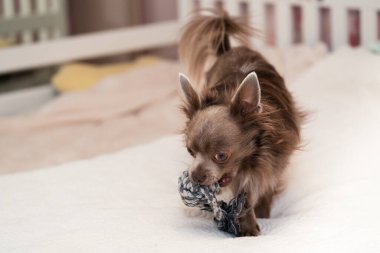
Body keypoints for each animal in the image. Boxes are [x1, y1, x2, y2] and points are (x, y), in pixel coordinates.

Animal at [178, 11, 302, 237]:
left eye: (221, 156)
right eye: (190, 151)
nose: (196, 176)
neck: (249, 162)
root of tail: (228, 50)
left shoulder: (272, 167)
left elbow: (260, 190)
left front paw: (260, 215)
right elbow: (243, 198)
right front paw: (247, 225)